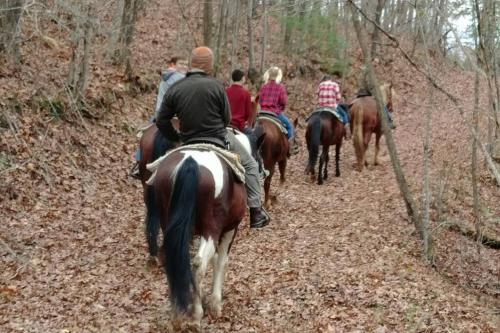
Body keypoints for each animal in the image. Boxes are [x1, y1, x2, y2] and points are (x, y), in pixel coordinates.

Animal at [149, 146, 249, 322]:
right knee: (199, 263)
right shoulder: (230, 230)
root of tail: (190, 161)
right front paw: (215, 304)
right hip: (212, 229)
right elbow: (221, 261)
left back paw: (177, 314)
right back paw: (196, 313)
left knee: (173, 260)